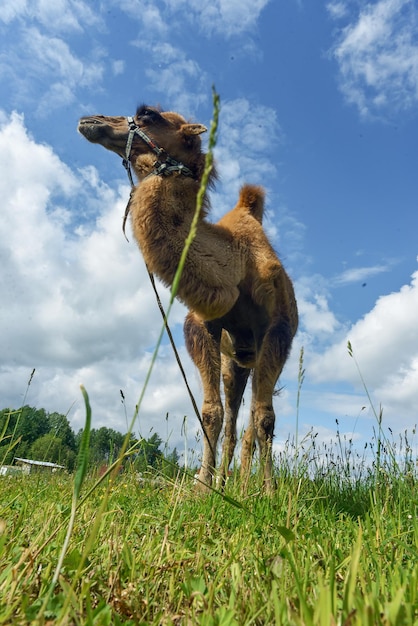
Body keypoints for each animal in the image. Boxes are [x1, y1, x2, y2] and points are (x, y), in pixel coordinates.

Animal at [78, 103, 298, 492]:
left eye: (147, 114)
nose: (91, 120)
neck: (237, 263)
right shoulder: (203, 325)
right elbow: (210, 411)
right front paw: (202, 486)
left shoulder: (279, 328)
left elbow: (265, 418)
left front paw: (271, 493)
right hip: (235, 361)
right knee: (233, 419)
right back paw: (227, 484)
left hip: (256, 352)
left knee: (252, 421)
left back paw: (246, 487)